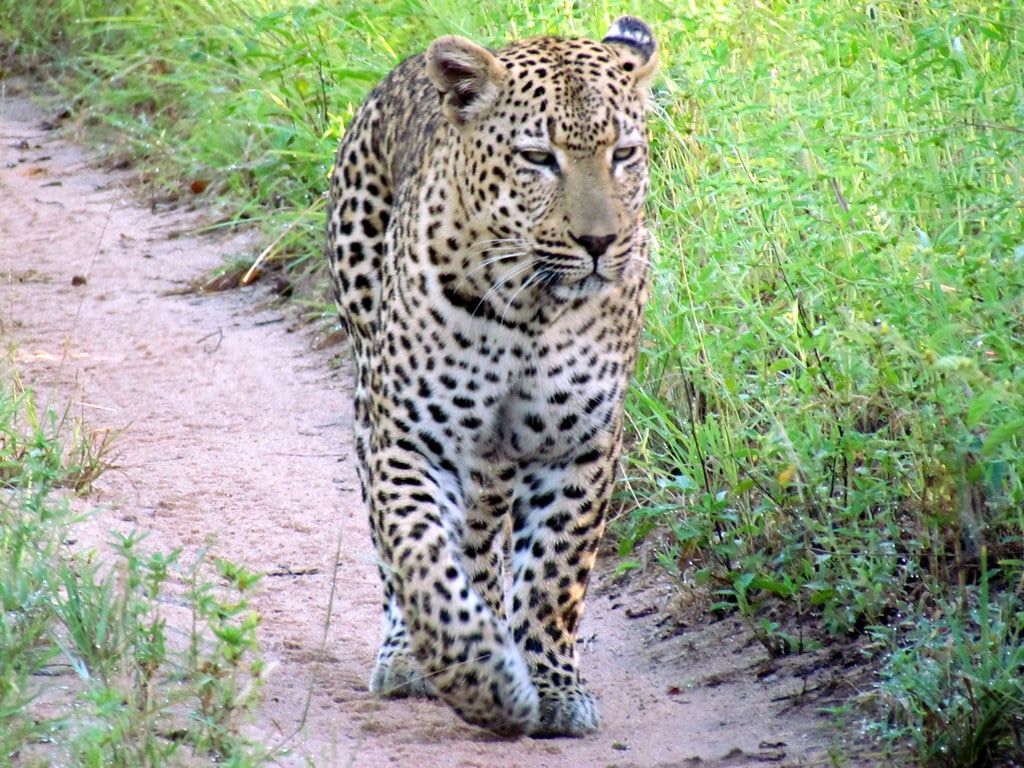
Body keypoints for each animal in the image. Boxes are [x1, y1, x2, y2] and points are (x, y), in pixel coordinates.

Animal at [326, 16, 657, 738]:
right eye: (538, 158)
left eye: (623, 154)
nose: (599, 243)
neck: (533, 311)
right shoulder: (413, 440)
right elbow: (421, 554)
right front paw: (483, 682)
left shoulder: (577, 446)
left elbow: (554, 576)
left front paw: (553, 689)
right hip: (371, 384)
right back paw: (408, 655)